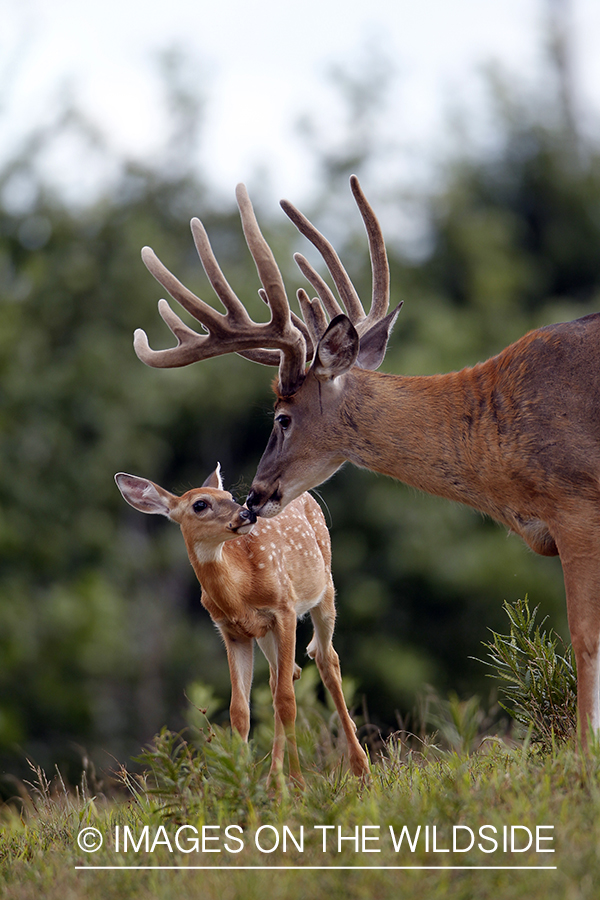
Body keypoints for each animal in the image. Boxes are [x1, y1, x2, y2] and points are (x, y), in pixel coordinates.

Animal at [114, 465, 370, 786]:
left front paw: (297, 783)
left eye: (230, 496)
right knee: (282, 676)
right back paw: (276, 778)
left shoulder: (284, 609)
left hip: (325, 586)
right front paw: (244, 781)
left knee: (326, 660)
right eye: (200, 504)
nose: (247, 513)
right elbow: (240, 711)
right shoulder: (233, 632)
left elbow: (287, 701)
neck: (241, 589)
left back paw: (360, 766)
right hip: (265, 634)